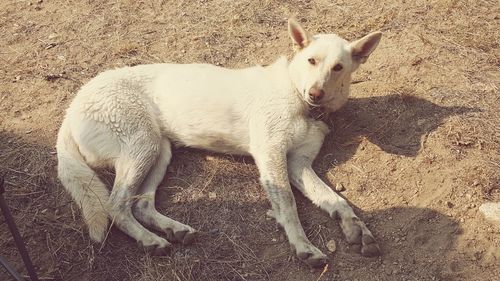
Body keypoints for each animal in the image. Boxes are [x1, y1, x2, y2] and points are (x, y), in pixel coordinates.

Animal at [55, 18, 382, 266]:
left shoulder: (297, 164)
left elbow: (333, 199)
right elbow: (288, 204)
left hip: (159, 152)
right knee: (116, 206)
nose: (315, 93)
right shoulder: (271, 154)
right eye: (311, 61)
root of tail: (74, 105)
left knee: (141, 204)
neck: (297, 97)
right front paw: (302, 245)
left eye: (338, 67)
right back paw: (150, 240)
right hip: (143, 146)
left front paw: (355, 226)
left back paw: (173, 230)